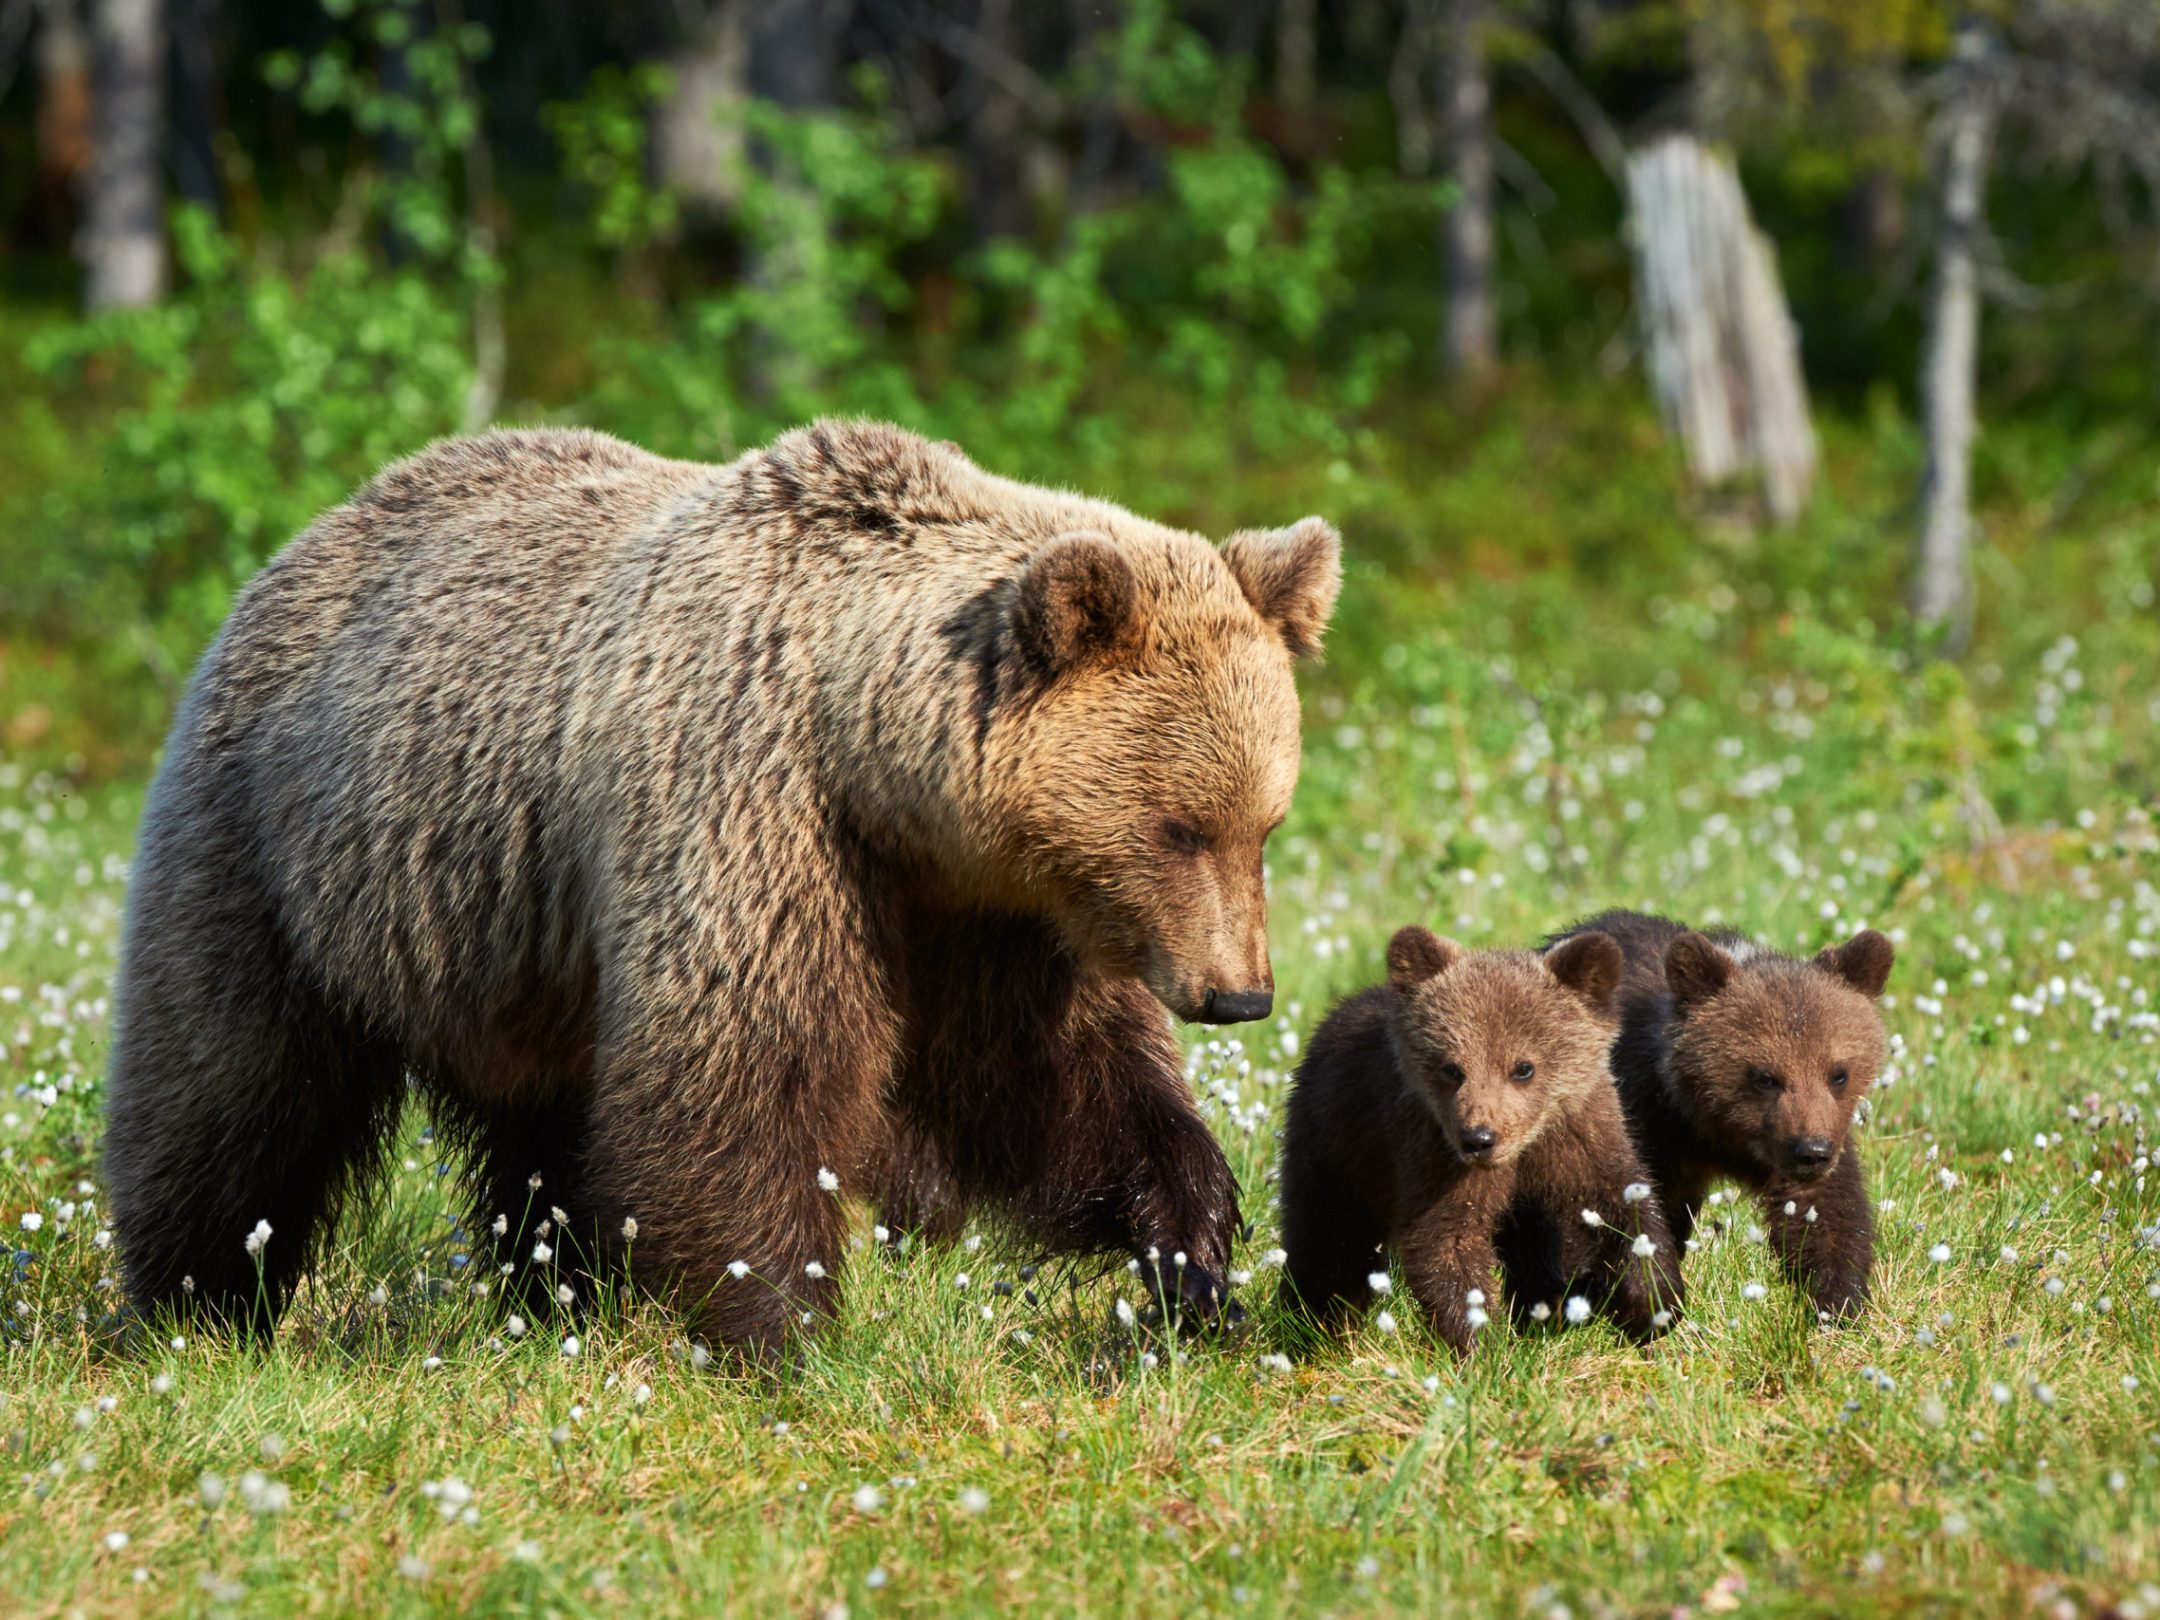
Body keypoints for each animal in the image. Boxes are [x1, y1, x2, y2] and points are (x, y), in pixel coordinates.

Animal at [99, 419, 1342, 1357]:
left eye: (1264, 824)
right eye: (1179, 828)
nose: (1241, 994)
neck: (876, 769)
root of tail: (304, 541)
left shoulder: (989, 913)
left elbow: (1051, 1077)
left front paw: (1195, 1247)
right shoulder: (751, 808)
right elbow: (742, 1065)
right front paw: (785, 1322)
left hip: (520, 946)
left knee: (546, 1132)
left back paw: (560, 1295)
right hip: (287, 851)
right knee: (233, 1090)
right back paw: (197, 1304)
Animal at [1277, 926, 1681, 1355]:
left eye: (1523, 1067)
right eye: (1452, 1068)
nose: (1479, 1138)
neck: (1524, 1144)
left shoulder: (1577, 1133)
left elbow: (1618, 1203)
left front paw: (1651, 1304)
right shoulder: (1433, 1153)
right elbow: (1447, 1241)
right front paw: (1480, 1342)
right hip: (1335, 1150)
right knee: (1328, 1243)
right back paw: (1312, 1329)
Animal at [1547, 910, 1894, 1319]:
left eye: (1839, 1073)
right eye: (1765, 1077)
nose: (1811, 1152)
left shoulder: (1809, 1142)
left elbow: (1828, 1212)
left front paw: (1838, 1302)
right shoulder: (1641, 1115)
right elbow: (1616, 1201)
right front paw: (1654, 1297)